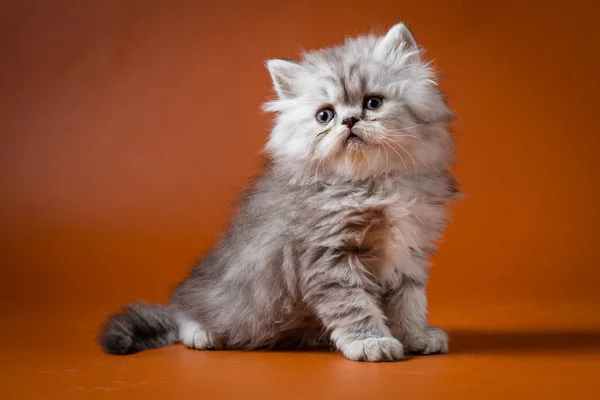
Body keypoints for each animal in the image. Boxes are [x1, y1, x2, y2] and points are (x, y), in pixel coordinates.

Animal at [101, 22, 462, 362]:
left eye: (373, 103)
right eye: (325, 115)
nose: (349, 121)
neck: (371, 183)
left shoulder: (408, 253)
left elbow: (409, 302)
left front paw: (415, 336)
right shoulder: (329, 258)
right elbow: (355, 306)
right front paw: (370, 341)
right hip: (219, 299)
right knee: (186, 314)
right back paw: (201, 333)